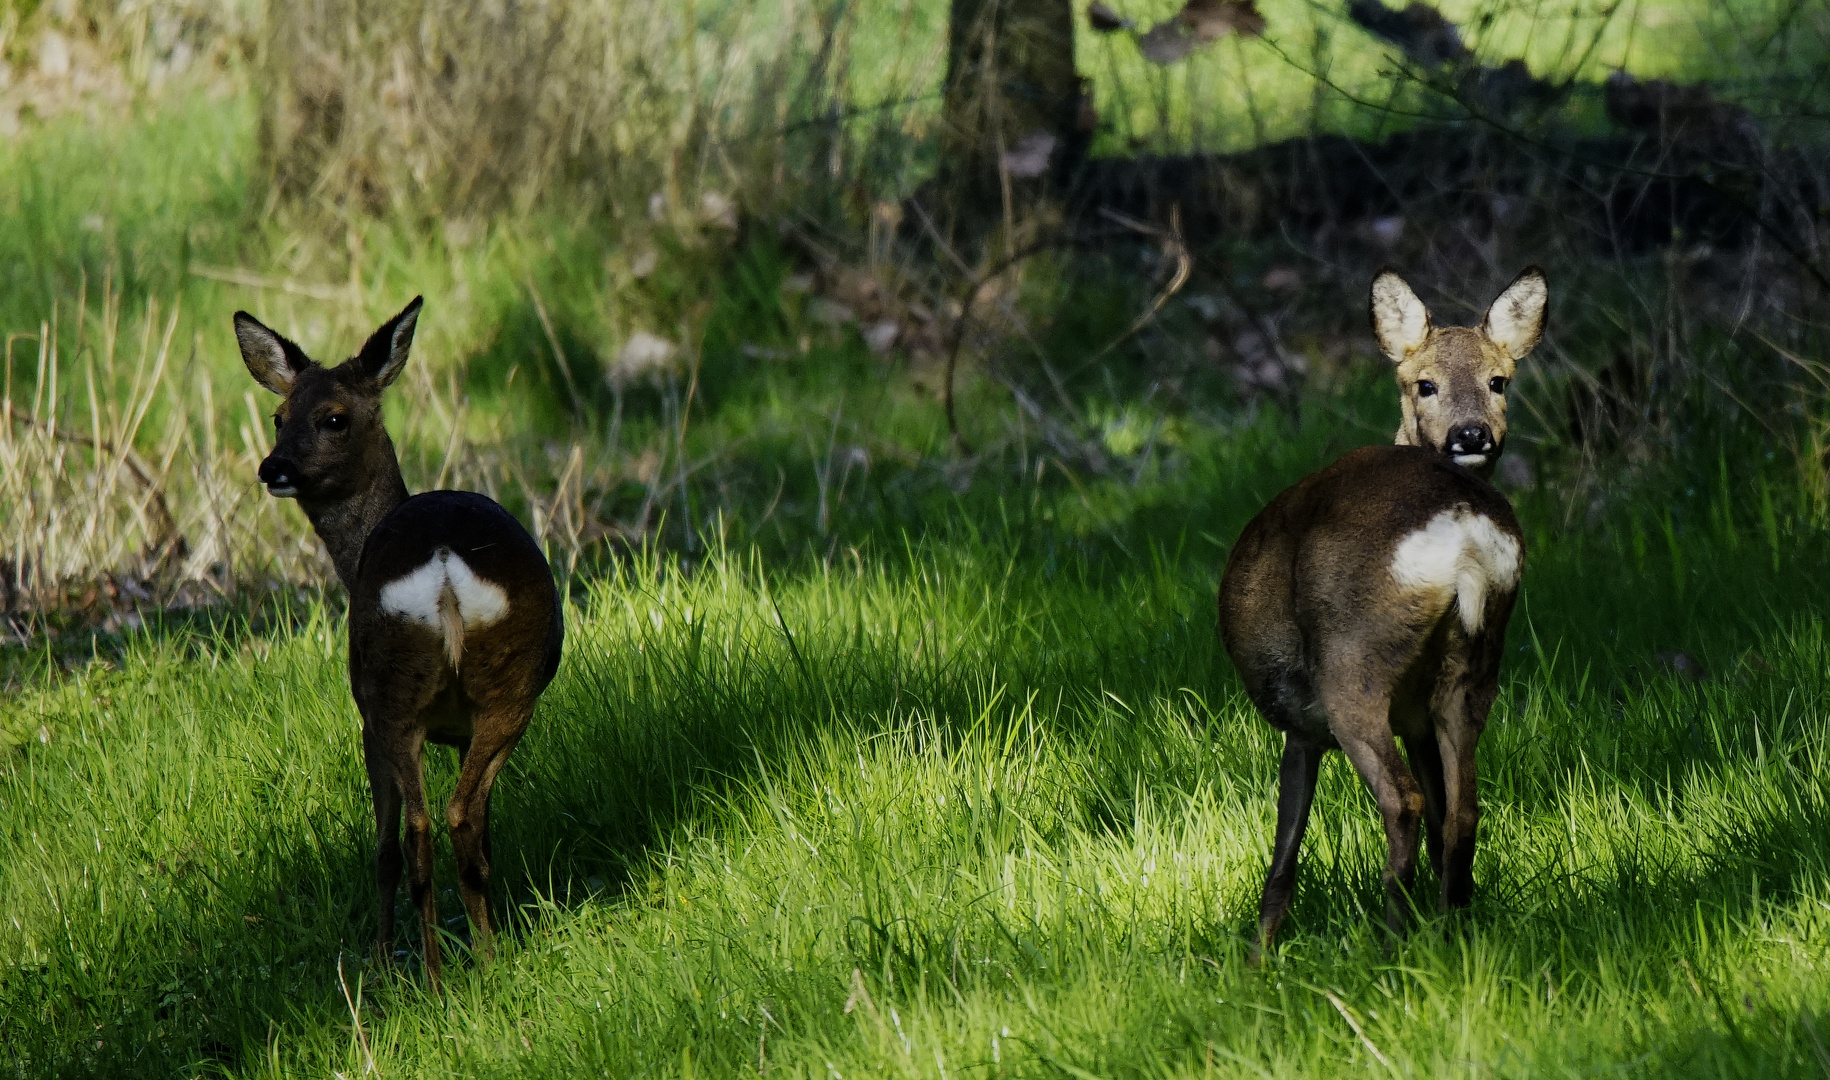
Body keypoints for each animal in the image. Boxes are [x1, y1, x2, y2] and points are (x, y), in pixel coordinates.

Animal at [237, 296, 563, 988]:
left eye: (334, 417)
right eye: (279, 416)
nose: (273, 468)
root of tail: (442, 563)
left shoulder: (365, 716)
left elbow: (383, 846)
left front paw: (383, 959)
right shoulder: (464, 727)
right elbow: (487, 830)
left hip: (390, 692)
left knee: (415, 831)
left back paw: (432, 977)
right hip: (511, 688)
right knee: (465, 818)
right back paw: (486, 957)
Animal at [1215, 269, 1544, 959]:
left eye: (1498, 380)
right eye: (1425, 383)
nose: (1472, 434)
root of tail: (1463, 529)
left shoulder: (1302, 725)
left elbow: (1285, 852)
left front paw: (1258, 957)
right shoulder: (1415, 718)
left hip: (1353, 667)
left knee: (1404, 802)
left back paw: (1391, 939)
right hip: (1473, 667)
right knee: (1462, 809)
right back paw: (1450, 927)